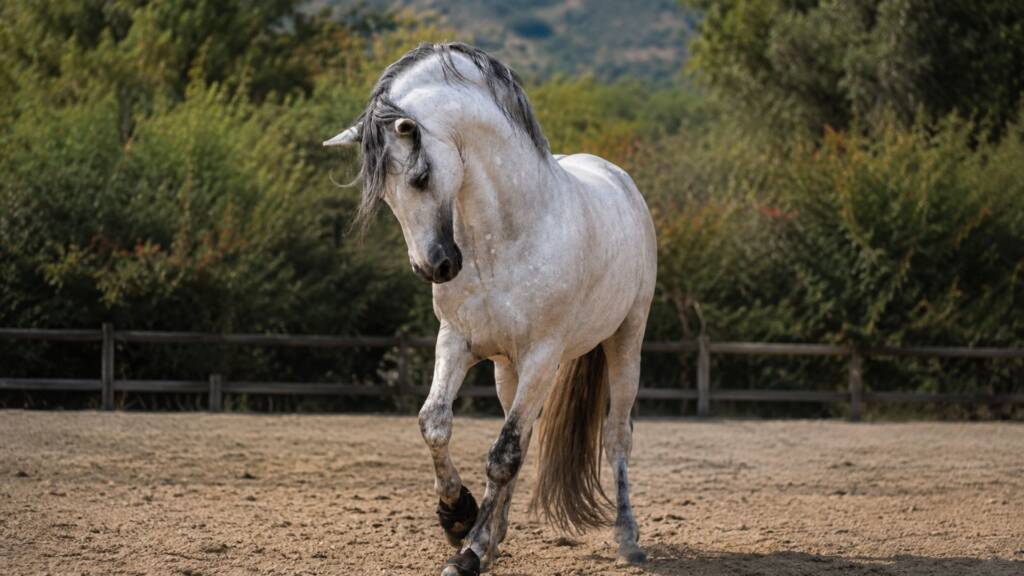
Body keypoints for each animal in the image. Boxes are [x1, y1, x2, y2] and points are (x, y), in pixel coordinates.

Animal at [324, 42, 656, 576]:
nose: (436, 266)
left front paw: (469, 551)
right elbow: (436, 424)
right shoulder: (457, 342)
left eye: (421, 177)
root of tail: (617, 176)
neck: (504, 234)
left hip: (625, 340)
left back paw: (628, 539)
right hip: (507, 369)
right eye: (385, 194)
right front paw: (458, 517)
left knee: (616, 435)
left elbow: (504, 453)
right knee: (524, 433)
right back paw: (496, 534)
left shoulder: (543, 355)